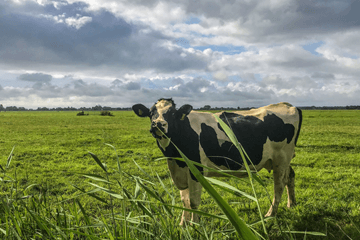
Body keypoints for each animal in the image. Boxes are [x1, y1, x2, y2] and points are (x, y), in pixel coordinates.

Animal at [131, 97, 300, 225]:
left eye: (172, 113)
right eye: (151, 113)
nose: (158, 124)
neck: (173, 156)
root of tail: (287, 105)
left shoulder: (196, 170)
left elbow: (193, 202)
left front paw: (195, 226)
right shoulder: (180, 171)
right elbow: (184, 201)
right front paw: (183, 224)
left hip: (281, 159)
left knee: (278, 186)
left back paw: (270, 214)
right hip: (284, 160)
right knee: (290, 176)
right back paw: (291, 204)